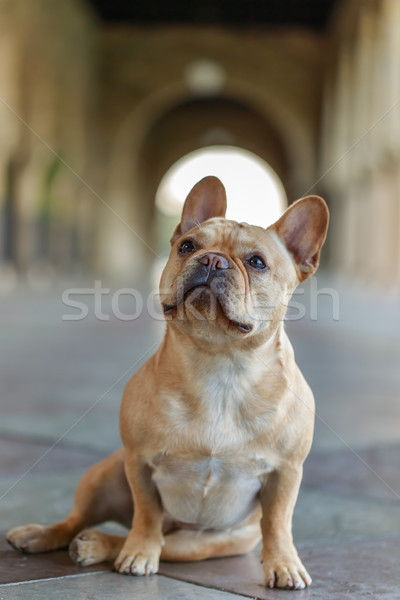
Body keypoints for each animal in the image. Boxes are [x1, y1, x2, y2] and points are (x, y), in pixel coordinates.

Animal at [7, 176, 328, 588]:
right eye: (187, 246)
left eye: (257, 262)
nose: (212, 259)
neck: (220, 363)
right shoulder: (139, 463)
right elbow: (146, 513)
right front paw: (139, 553)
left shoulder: (286, 473)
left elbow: (278, 521)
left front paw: (284, 564)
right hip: (106, 475)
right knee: (89, 521)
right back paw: (48, 536)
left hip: (207, 543)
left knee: (163, 541)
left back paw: (98, 545)